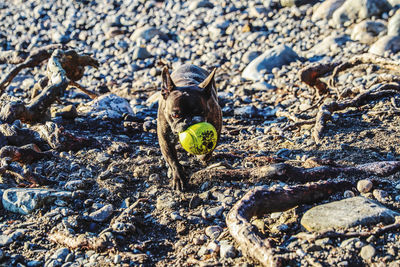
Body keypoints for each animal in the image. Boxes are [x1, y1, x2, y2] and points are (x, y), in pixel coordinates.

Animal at [157, 63, 222, 192]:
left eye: (201, 112)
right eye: (175, 115)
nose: (189, 121)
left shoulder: (217, 122)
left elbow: (210, 148)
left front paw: (203, 156)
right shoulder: (165, 140)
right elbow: (173, 161)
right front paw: (179, 178)